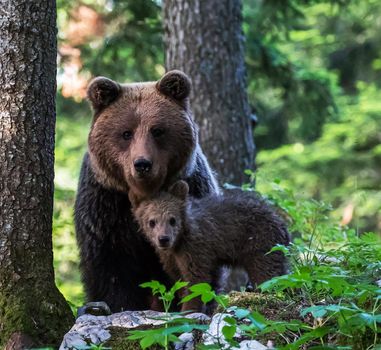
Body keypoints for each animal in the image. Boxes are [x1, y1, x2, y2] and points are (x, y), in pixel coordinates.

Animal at [74, 69, 218, 310]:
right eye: (126, 133)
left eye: (157, 130)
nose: (142, 163)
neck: (145, 191)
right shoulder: (106, 207)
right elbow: (111, 270)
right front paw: (117, 305)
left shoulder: (193, 190)